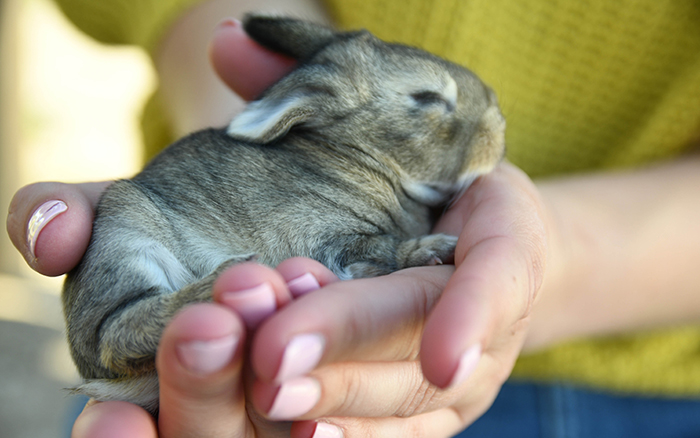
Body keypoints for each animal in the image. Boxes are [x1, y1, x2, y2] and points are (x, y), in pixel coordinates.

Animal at [63, 13, 506, 410]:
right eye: (428, 98)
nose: (499, 127)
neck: (359, 156)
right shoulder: (323, 238)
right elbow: (381, 248)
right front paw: (433, 248)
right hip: (126, 232)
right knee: (115, 332)